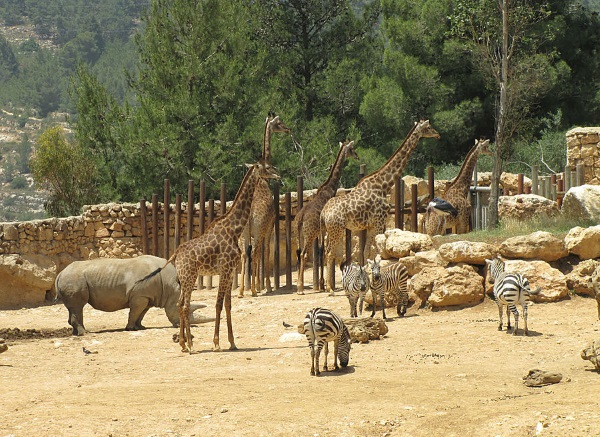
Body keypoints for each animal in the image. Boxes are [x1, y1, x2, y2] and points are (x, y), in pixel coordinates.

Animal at [238, 112, 290, 296]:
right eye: (279, 123)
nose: (288, 129)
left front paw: (260, 285)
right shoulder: (268, 227)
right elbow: (267, 251)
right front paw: (266, 286)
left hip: (245, 233)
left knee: (245, 254)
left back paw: (242, 291)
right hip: (259, 229)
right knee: (254, 252)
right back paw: (253, 290)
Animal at [294, 141, 358, 294]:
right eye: (352, 149)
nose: (357, 156)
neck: (329, 189)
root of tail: (300, 219)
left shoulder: (322, 230)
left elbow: (321, 251)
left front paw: (322, 285)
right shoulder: (325, 229)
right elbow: (325, 251)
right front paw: (326, 285)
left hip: (299, 235)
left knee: (298, 254)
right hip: (310, 234)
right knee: (304, 254)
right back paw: (300, 288)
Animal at [318, 120, 440, 292]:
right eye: (428, 127)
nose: (438, 135)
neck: (383, 185)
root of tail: (323, 213)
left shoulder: (370, 225)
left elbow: (365, 252)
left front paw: (365, 280)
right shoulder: (379, 221)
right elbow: (377, 253)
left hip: (329, 229)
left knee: (326, 252)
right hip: (337, 229)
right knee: (330, 253)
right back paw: (330, 289)